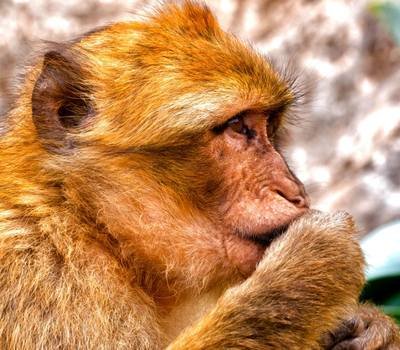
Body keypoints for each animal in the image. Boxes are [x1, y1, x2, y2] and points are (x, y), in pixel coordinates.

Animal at [0, 1, 398, 348]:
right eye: (238, 127)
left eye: (268, 127)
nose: (295, 191)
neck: (90, 221)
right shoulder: (38, 267)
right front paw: (310, 266)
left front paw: (370, 326)